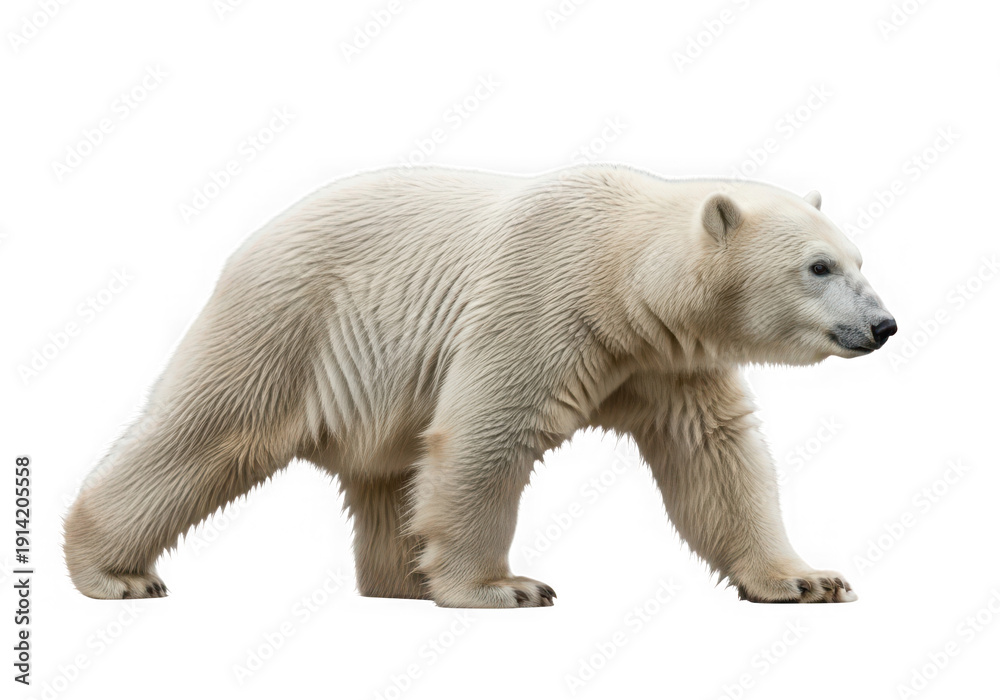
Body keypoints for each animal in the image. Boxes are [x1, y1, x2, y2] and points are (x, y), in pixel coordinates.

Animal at [63, 164, 896, 606]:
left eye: (861, 259)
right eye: (819, 266)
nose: (884, 324)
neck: (621, 277)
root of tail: (252, 238)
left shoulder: (666, 361)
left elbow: (717, 458)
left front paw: (807, 580)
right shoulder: (544, 304)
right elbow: (486, 435)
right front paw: (506, 587)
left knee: (388, 475)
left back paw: (404, 578)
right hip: (289, 321)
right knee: (208, 429)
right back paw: (114, 571)